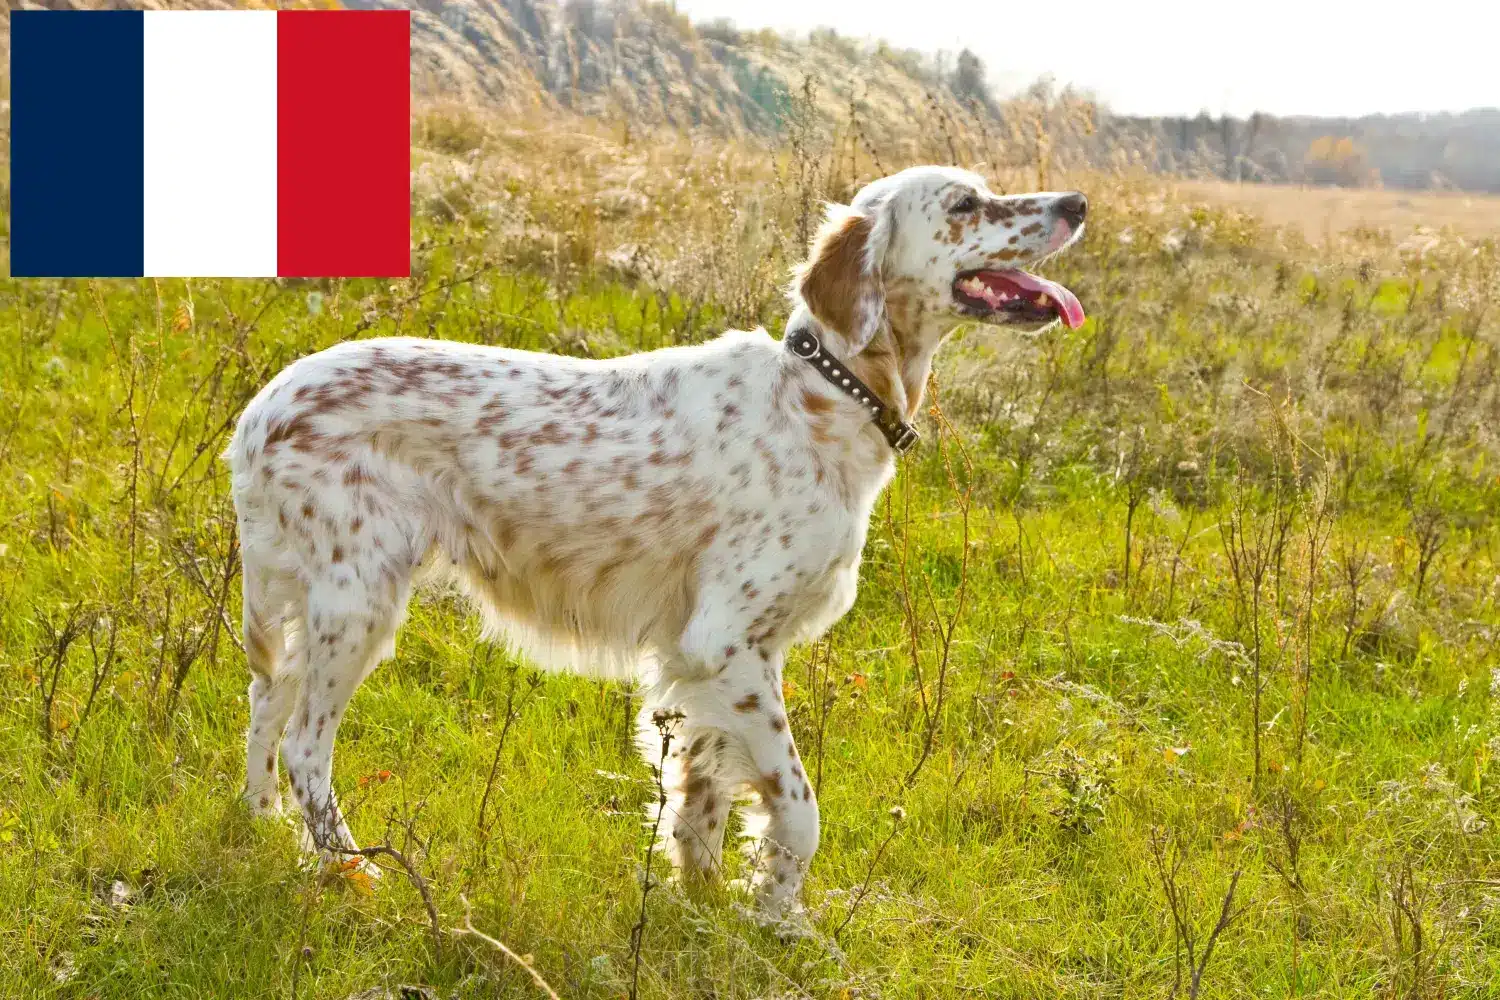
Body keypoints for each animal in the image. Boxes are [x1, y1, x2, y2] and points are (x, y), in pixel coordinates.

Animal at [228, 166, 1086, 917]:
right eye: (966, 203)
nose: (1077, 202)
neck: (825, 393)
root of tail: (262, 408)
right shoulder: (727, 643)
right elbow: (798, 810)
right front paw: (777, 919)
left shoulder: (699, 661)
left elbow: (699, 802)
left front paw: (703, 908)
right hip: (360, 602)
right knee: (305, 743)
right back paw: (351, 870)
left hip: (316, 604)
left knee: (266, 701)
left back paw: (261, 826)